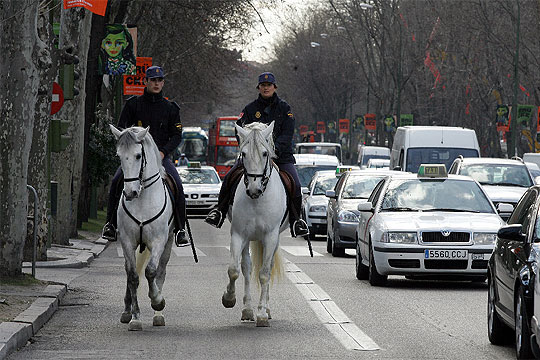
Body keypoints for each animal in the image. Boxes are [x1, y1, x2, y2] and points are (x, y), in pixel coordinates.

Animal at [110, 125, 175, 330]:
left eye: (138, 155)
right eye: (119, 155)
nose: (130, 193)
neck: (143, 199)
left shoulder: (159, 241)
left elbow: (151, 272)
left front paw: (157, 301)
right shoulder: (127, 241)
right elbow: (133, 276)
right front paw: (135, 317)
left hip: (169, 242)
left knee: (160, 271)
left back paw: (158, 315)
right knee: (131, 271)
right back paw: (127, 310)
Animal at [220, 122, 286, 328]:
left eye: (265, 153)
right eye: (243, 153)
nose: (254, 189)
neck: (258, 199)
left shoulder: (271, 237)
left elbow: (264, 273)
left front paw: (262, 314)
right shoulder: (238, 234)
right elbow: (234, 270)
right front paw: (229, 298)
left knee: (268, 267)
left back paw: (266, 309)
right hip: (248, 238)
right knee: (247, 268)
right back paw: (248, 309)